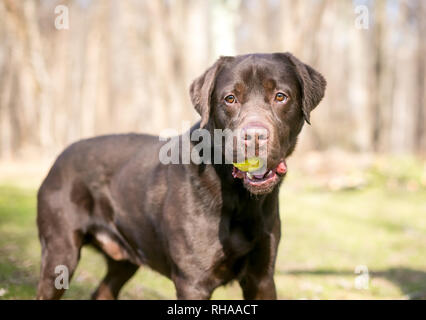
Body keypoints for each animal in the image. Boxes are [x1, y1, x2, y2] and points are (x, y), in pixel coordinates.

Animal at [37, 52, 326, 300]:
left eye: (280, 96)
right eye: (230, 98)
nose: (254, 136)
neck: (238, 196)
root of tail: (59, 157)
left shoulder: (262, 278)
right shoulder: (193, 281)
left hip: (124, 260)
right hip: (60, 253)